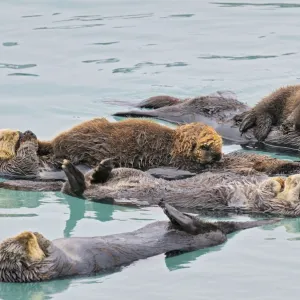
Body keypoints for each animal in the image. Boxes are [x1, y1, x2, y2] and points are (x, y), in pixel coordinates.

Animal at [0, 200, 278, 282]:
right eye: (24, 245)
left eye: (19, 238)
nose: (28, 234)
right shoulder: (54, 266)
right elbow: (53, 255)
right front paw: (42, 240)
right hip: (206, 238)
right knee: (207, 231)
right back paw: (170, 210)